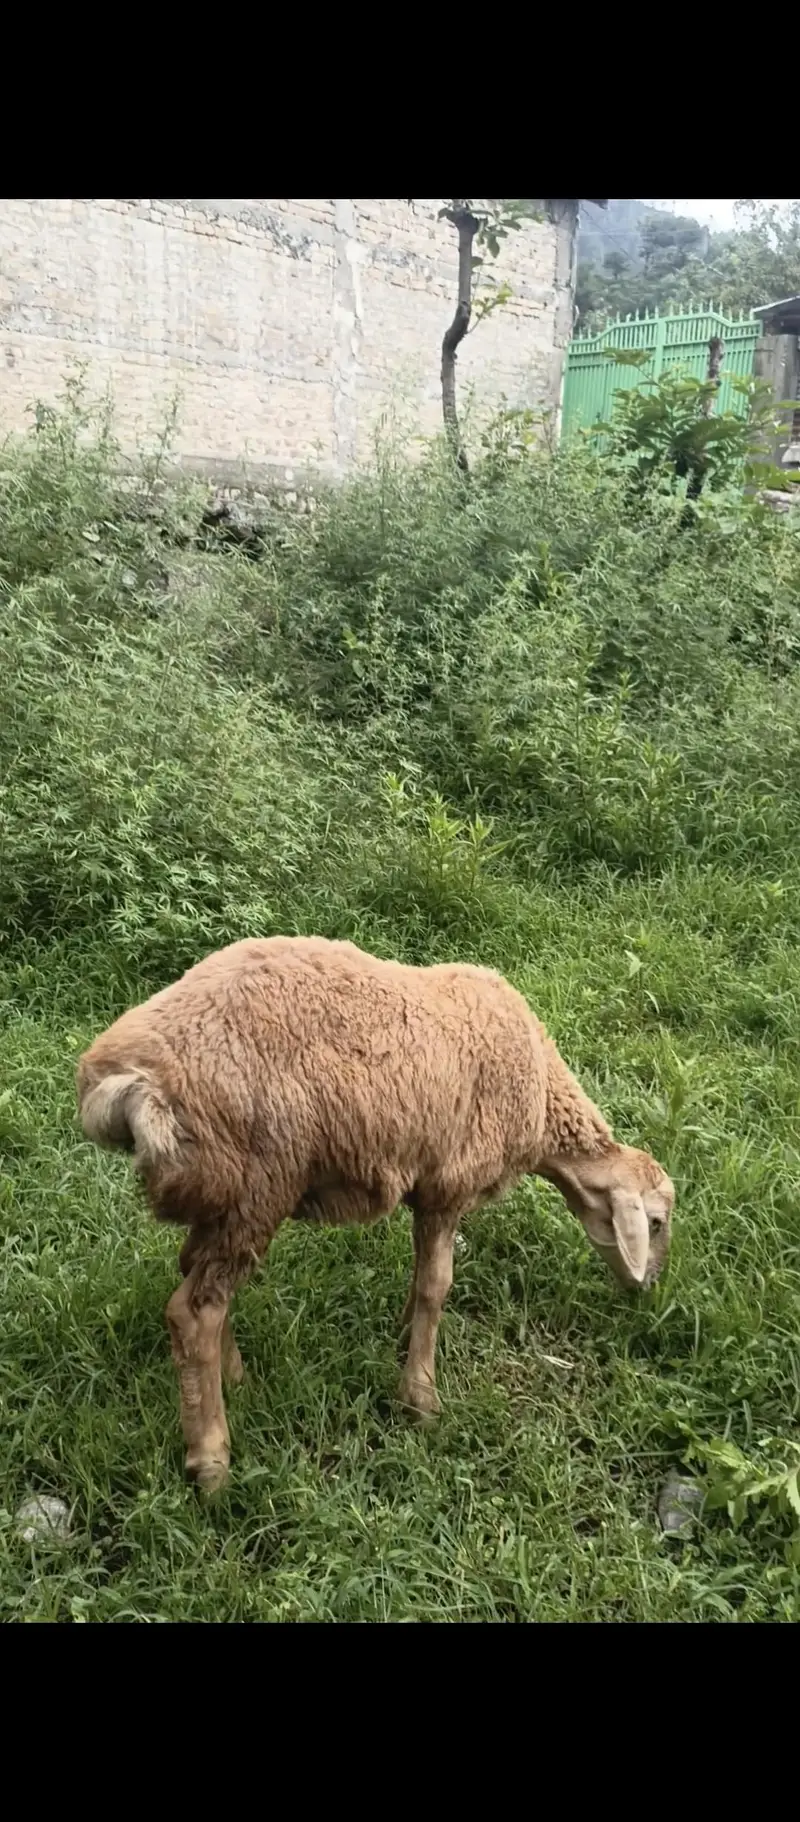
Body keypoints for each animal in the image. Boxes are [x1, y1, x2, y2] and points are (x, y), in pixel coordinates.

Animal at [77, 935, 675, 1491]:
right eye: (657, 1222)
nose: (646, 1292)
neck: (542, 1097)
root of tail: (123, 1084)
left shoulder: (426, 1188)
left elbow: (420, 1276)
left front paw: (404, 1337)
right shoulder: (452, 1185)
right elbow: (437, 1285)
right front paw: (421, 1400)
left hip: (226, 1196)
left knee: (197, 1278)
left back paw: (236, 1378)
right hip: (258, 1184)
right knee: (193, 1312)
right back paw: (212, 1464)